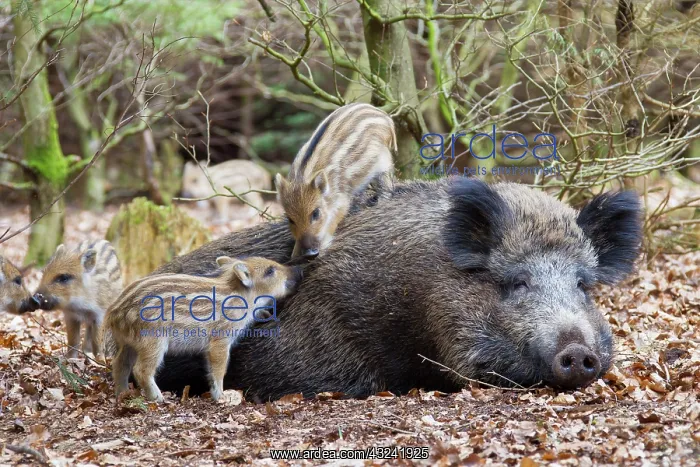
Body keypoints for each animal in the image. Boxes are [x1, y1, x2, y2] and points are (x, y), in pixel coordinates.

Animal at [106, 256, 302, 402]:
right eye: (270, 271)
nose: (298, 269)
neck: (241, 297)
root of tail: (114, 311)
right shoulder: (220, 339)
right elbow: (219, 368)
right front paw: (222, 397)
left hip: (129, 343)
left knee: (120, 364)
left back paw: (122, 394)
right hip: (153, 341)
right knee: (141, 369)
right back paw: (159, 398)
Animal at [275, 103, 396, 258]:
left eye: (316, 213)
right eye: (290, 219)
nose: (310, 253)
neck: (302, 177)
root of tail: (385, 117)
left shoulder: (341, 199)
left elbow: (335, 217)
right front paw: (294, 255)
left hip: (384, 160)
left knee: (386, 185)